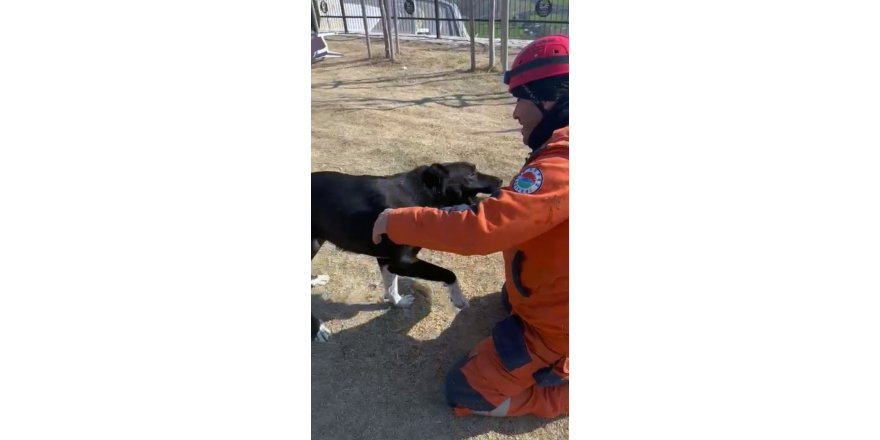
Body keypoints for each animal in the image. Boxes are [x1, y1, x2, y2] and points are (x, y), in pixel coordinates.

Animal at [312, 162, 502, 340]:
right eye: (471, 174)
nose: (500, 180)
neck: (422, 193)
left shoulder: (387, 260)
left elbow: (391, 285)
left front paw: (398, 302)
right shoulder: (403, 262)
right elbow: (449, 273)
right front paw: (458, 298)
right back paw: (318, 330)